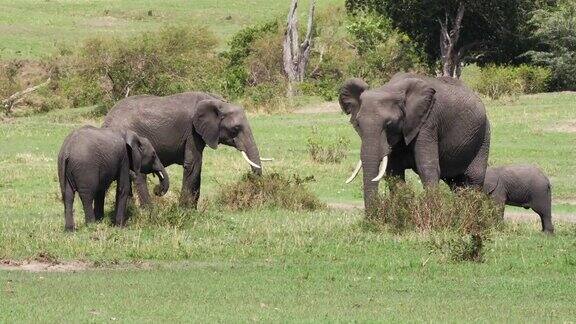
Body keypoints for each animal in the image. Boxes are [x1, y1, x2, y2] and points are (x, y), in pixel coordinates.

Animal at [104, 91, 272, 208]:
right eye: (236, 128)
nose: (252, 184)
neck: (215, 100)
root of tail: (106, 120)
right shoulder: (192, 130)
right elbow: (193, 164)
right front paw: (185, 210)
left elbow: (198, 165)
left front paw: (192, 209)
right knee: (138, 175)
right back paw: (148, 211)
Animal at [340, 73, 492, 210]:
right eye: (358, 124)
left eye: (389, 124)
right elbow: (394, 172)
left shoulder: (428, 123)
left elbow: (427, 168)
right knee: (456, 184)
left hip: (484, 135)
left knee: (474, 179)